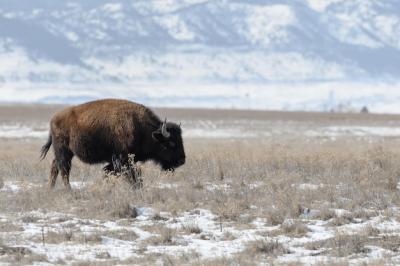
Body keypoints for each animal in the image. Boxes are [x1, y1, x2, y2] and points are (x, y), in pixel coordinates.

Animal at [39, 99, 187, 189]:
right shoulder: (122, 159)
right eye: (171, 143)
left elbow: (108, 171)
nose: (182, 160)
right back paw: (68, 190)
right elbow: (132, 175)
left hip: (65, 153)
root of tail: (54, 119)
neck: (143, 129)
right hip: (64, 151)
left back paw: (51, 188)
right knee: (64, 169)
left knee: (55, 167)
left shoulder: (118, 161)